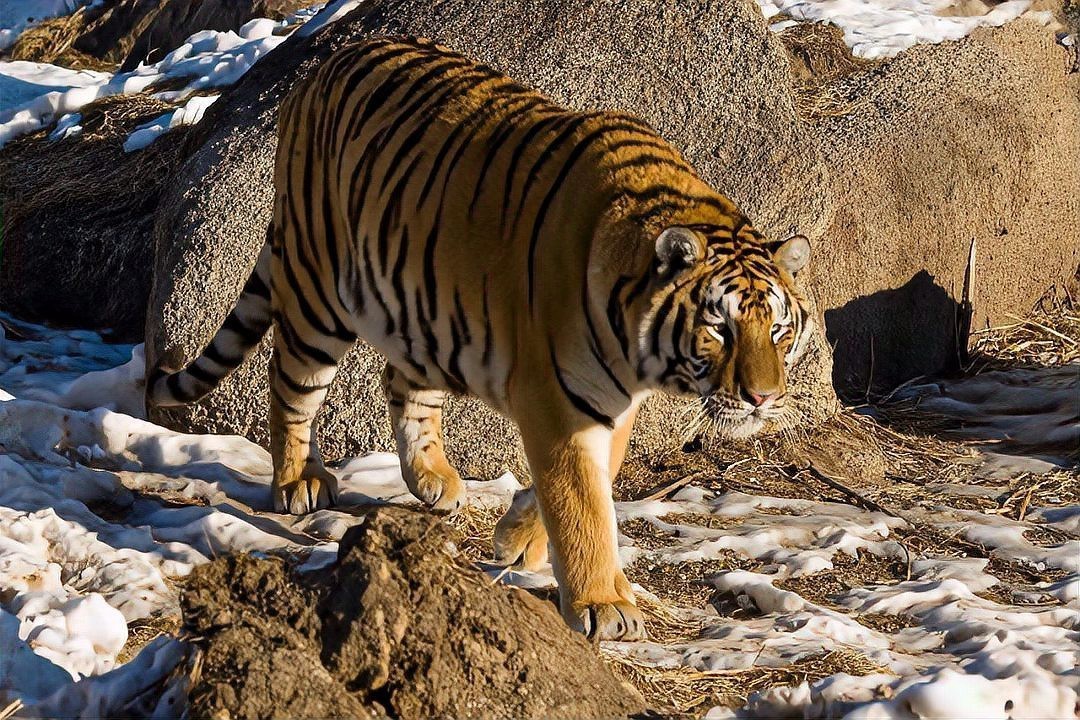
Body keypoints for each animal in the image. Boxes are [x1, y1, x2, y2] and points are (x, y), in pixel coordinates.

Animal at [148, 36, 814, 641]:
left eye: (779, 331)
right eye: (720, 328)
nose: (763, 399)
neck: (639, 353)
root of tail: (323, 65)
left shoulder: (607, 402)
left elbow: (588, 482)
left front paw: (520, 540)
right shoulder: (558, 397)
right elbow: (581, 499)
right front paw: (603, 603)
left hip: (418, 302)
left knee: (401, 382)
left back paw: (433, 480)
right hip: (319, 290)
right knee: (289, 383)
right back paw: (297, 482)